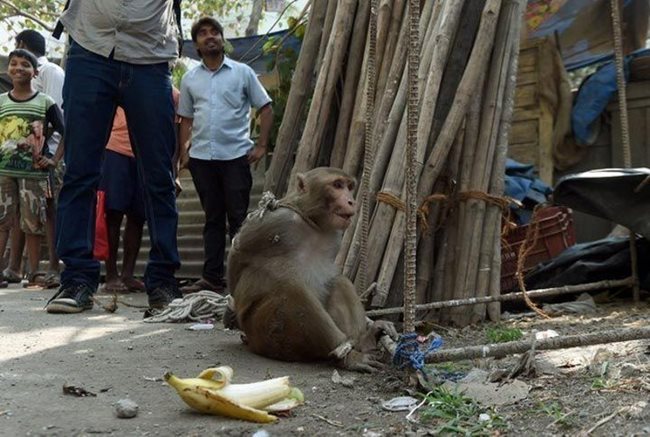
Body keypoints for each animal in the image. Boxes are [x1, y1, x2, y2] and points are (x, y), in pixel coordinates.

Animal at [223, 167, 394, 372]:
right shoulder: (276, 220)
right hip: (264, 333)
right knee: (291, 288)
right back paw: (349, 356)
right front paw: (232, 310)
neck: (312, 223)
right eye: (337, 185)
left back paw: (364, 342)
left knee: (340, 282)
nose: (351, 201)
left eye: (349, 187)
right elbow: (237, 249)